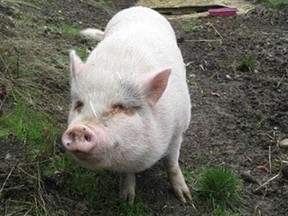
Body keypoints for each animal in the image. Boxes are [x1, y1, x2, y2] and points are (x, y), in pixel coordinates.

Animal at [61, 5, 191, 203]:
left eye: (120, 107)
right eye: (79, 105)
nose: (79, 128)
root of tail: (139, 7)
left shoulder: (179, 128)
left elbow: (172, 161)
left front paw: (185, 198)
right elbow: (127, 171)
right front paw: (126, 200)